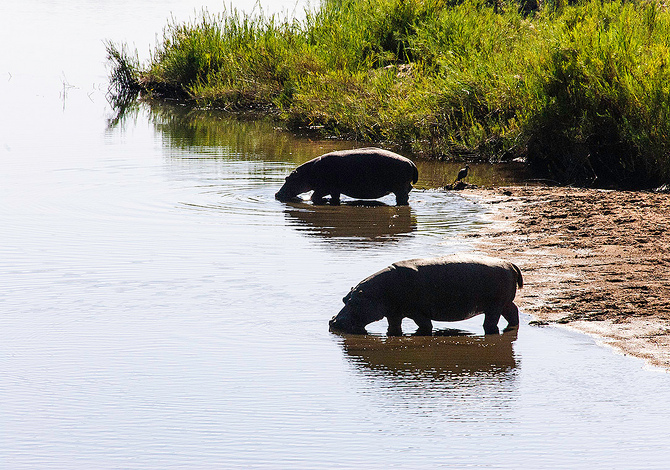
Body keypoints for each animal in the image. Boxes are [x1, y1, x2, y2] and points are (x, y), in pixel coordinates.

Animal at [276, 147, 418, 206]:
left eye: (287, 179)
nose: (276, 194)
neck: (306, 174)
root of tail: (411, 162)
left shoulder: (323, 188)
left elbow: (314, 196)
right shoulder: (334, 190)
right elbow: (335, 197)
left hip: (399, 188)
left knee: (403, 198)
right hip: (404, 186)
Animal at [330, 255, 524, 336]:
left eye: (354, 302)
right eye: (344, 299)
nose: (333, 321)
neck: (375, 294)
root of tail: (510, 263)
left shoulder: (417, 313)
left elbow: (425, 326)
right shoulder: (393, 314)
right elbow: (393, 328)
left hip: (494, 307)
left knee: (491, 322)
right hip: (505, 304)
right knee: (513, 313)